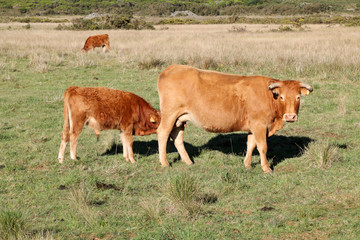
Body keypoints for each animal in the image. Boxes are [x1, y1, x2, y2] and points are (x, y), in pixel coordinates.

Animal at [157, 64, 312, 172]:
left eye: (298, 97)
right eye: (281, 97)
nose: (290, 116)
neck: (269, 96)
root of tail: (172, 68)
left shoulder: (253, 127)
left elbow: (251, 144)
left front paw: (247, 165)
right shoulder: (260, 125)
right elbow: (262, 146)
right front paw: (266, 168)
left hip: (180, 119)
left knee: (177, 137)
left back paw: (188, 161)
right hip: (169, 115)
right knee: (163, 133)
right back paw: (164, 163)